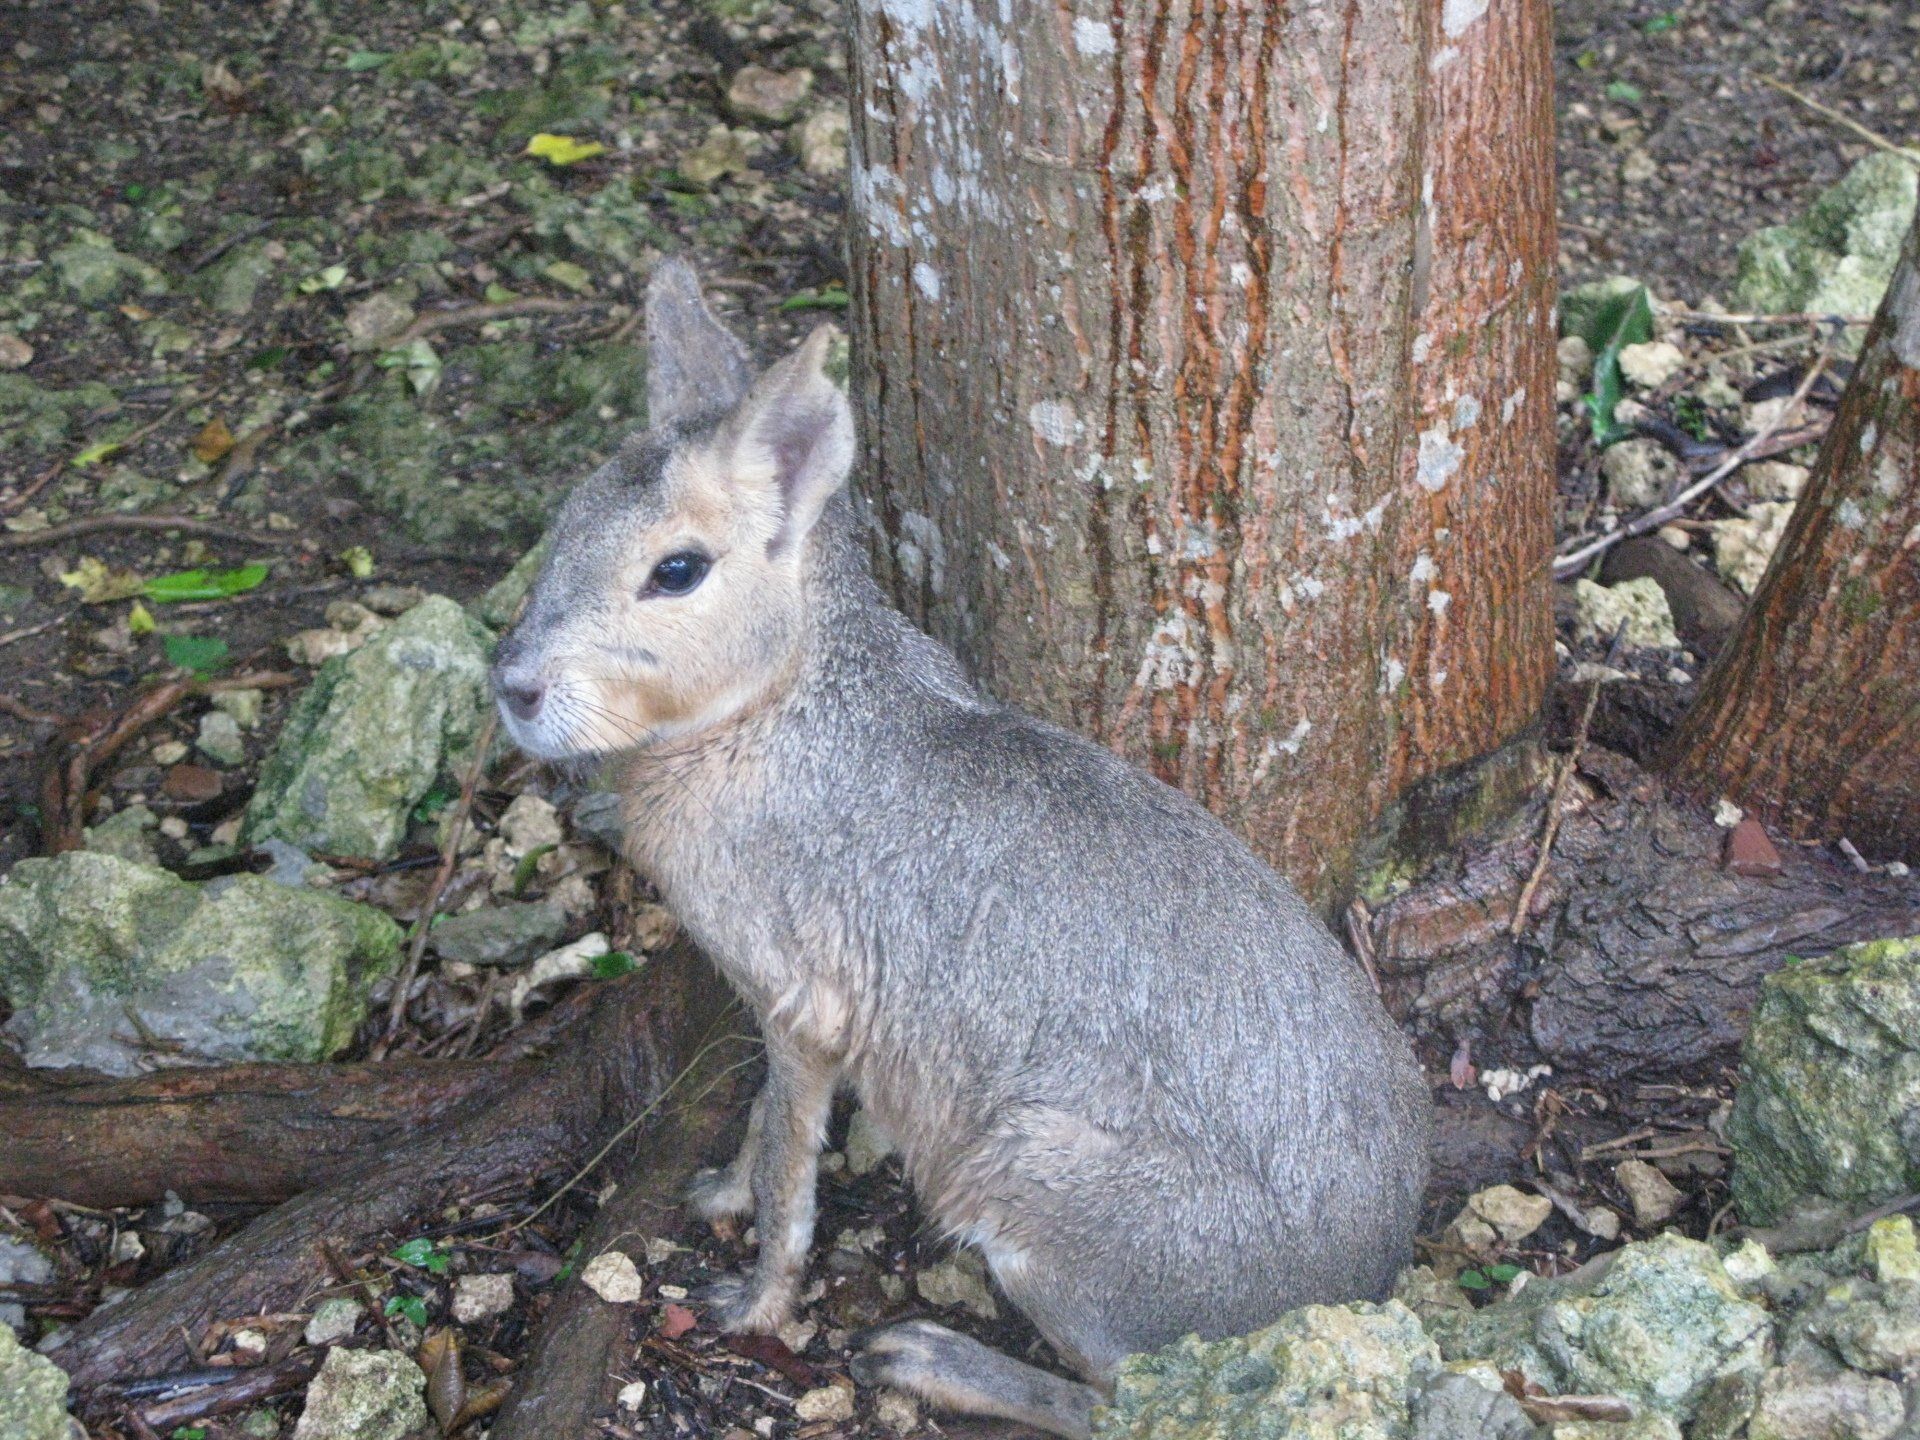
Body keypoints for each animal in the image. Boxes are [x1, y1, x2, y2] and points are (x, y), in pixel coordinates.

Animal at [490, 259, 1432, 1439]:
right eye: (562, 524)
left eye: (677, 570)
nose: (512, 687)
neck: (769, 713)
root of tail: (1362, 1282)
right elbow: (760, 1122)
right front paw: (716, 1194)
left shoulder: (806, 1004)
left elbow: (792, 1167)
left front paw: (753, 1300)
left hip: (1028, 1182)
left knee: (1126, 1403)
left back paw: (926, 1355)